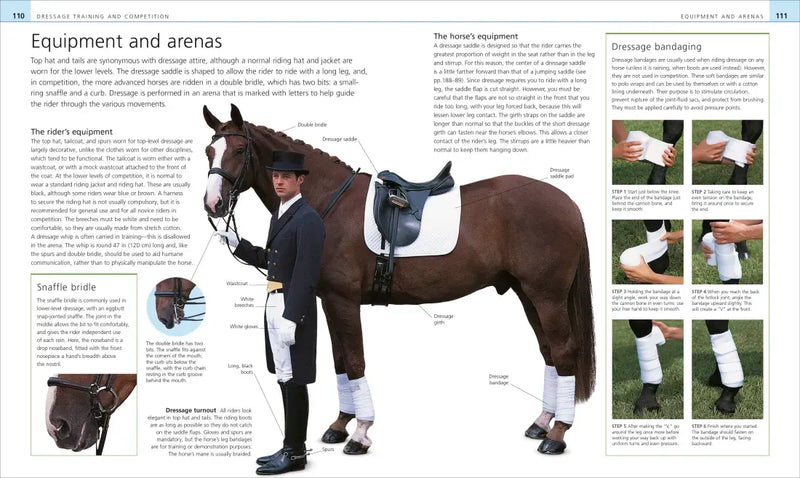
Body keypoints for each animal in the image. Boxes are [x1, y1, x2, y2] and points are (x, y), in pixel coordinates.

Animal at [201, 104, 595, 455]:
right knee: (549, 352)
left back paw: (557, 435)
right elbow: (340, 361)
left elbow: (355, 360)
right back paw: (541, 423)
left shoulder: (344, 301)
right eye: (209, 151)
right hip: (528, 294)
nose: (213, 203)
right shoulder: (329, 301)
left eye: (239, 150)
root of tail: (568, 203)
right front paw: (340, 425)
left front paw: (360, 434)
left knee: (564, 351)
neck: (328, 202)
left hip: (547, 296)